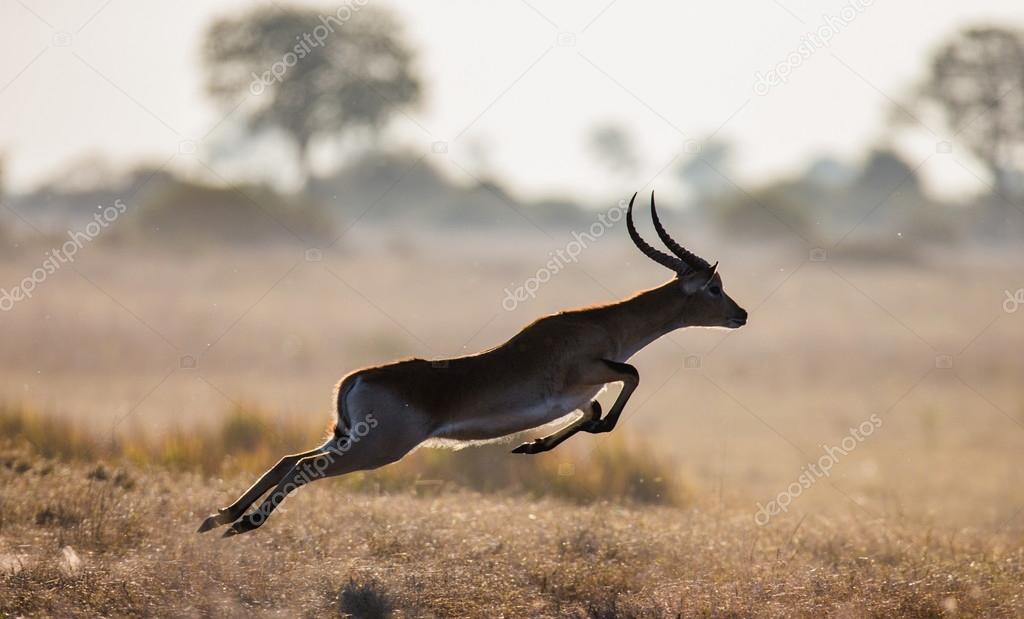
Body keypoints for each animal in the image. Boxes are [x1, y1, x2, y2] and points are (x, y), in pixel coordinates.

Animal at [197, 190, 745, 532]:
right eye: (713, 288)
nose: (741, 314)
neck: (604, 325)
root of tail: (355, 378)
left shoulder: (579, 396)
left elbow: (588, 417)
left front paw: (531, 447)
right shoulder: (589, 373)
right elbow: (626, 383)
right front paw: (543, 442)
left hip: (346, 437)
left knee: (289, 458)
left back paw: (219, 517)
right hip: (376, 449)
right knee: (303, 468)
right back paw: (244, 524)